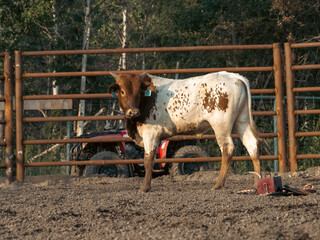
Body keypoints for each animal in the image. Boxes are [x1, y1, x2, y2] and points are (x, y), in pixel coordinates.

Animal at [107, 71, 260, 193]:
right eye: (122, 91)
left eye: (139, 91)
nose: (133, 112)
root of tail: (235, 76)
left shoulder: (150, 134)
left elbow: (148, 160)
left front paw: (144, 188)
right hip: (242, 121)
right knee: (252, 145)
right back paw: (256, 183)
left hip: (221, 125)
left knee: (227, 149)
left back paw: (218, 184)